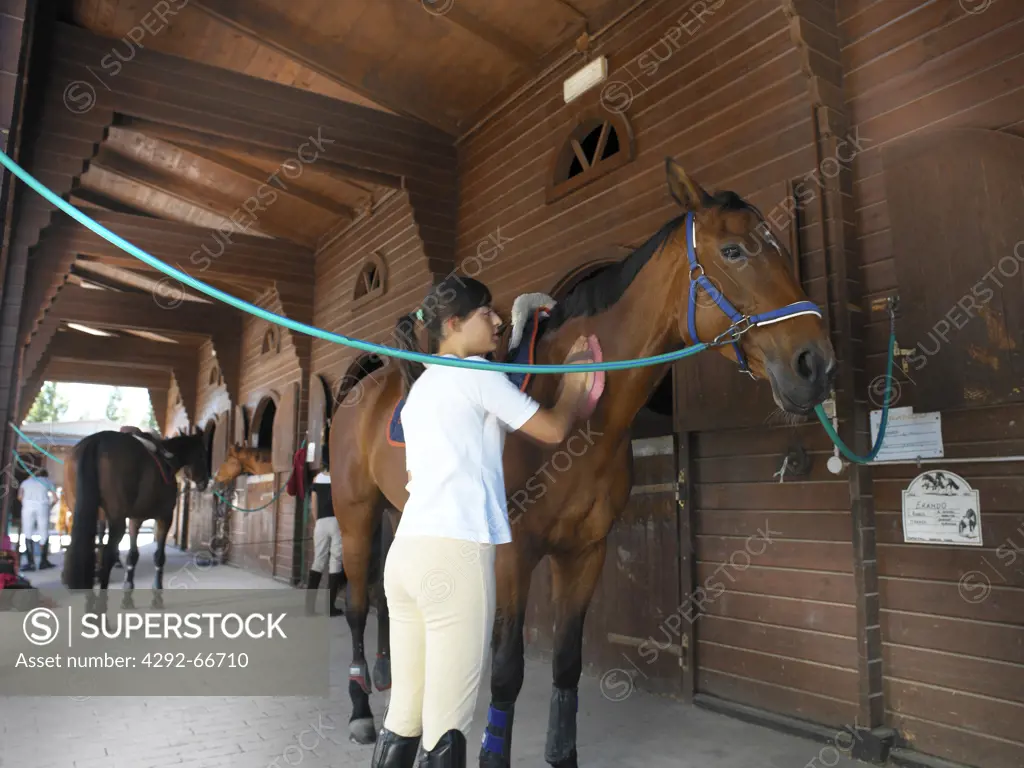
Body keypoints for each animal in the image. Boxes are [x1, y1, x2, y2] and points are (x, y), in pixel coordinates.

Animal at [62, 430, 211, 606]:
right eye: (202, 455)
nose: (205, 482)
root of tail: (96, 440)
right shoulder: (165, 517)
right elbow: (159, 556)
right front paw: (157, 590)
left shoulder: (134, 519)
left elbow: (132, 555)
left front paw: (128, 588)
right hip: (117, 521)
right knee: (108, 555)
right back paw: (101, 604)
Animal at [331, 163, 835, 765]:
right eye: (734, 251)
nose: (815, 364)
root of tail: (361, 391)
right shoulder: (514, 555)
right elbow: (507, 671)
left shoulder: (586, 551)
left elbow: (567, 664)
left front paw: (561, 753)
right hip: (355, 516)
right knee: (357, 606)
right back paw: (360, 712)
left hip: (399, 514)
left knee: (389, 602)